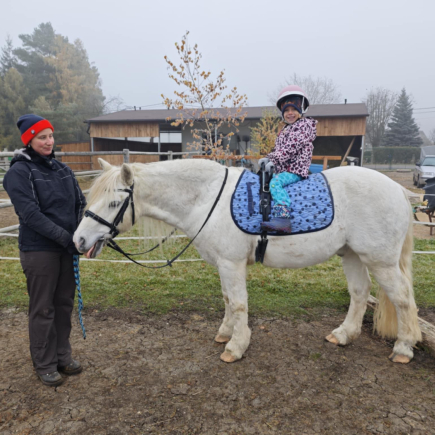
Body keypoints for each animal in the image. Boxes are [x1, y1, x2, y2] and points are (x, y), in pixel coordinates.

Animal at [75, 159, 422, 364]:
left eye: (115, 202)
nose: (78, 241)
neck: (206, 198)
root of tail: (398, 190)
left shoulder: (231, 263)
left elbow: (240, 303)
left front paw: (236, 345)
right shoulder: (222, 264)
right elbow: (228, 300)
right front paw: (226, 333)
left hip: (381, 261)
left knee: (404, 299)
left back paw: (403, 348)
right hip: (352, 254)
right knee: (360, 294)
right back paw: (344, 334)